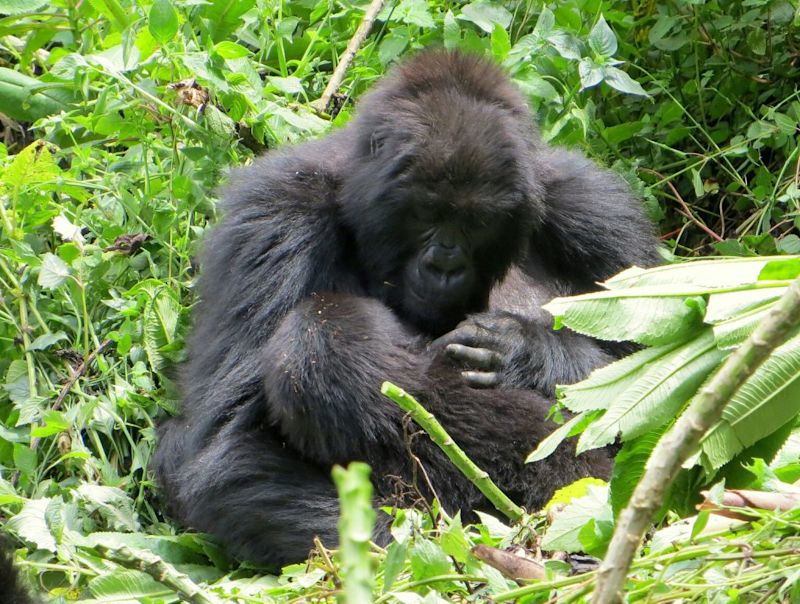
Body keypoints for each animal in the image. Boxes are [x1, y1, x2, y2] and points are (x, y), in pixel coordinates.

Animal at [153, 49, 660, 568]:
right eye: (424, 213)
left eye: (478, 221)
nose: (444, 266)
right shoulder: (273, 216)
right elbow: (229, 443)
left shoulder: (595, 209)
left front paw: (524, 352)